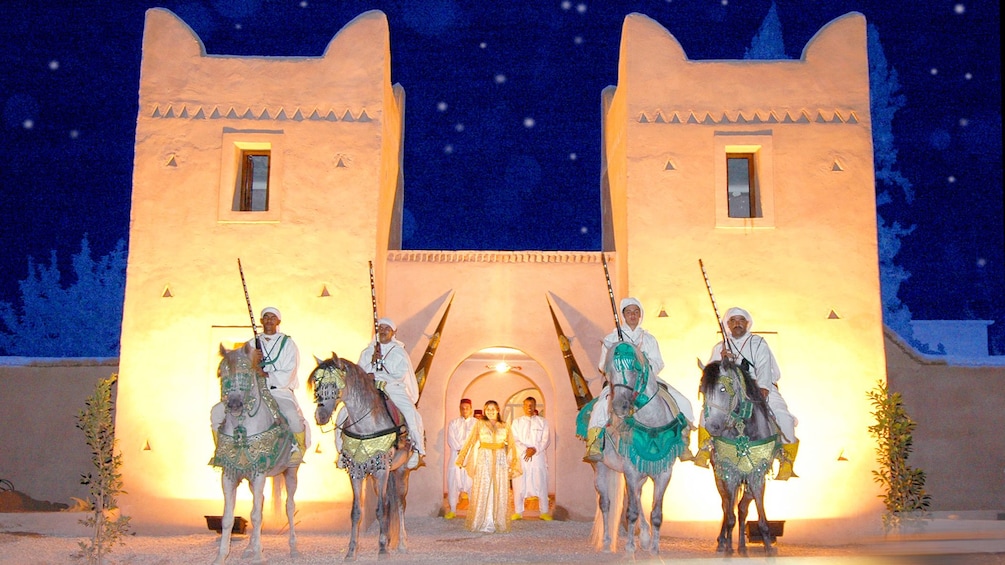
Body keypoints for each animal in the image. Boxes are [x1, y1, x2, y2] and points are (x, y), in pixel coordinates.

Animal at [206, 341, 295, 558]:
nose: (235, 404)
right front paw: (222, 556)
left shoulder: (259, 473)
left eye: (246, 372)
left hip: (290, 471)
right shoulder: (230, 474)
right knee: (260, 502)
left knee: (289, 507)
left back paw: (293, 547)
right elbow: (228, 518)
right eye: (222, 373)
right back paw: (251, 546)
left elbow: (255, 515)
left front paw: (258, 557)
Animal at [309, 351, 412, 558]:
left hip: (400, 470)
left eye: (334, 384)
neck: (366, 426)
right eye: (317, 383)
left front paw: (382, 550)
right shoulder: (356, 470)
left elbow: (381, 509)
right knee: (389, 501)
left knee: (399, 503)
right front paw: (351, 551)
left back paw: (402, 543)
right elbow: (356, 511)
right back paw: (390, 539)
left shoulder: (382, 469)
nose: (321, 416)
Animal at [582, 341, 691, 550]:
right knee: (606, 503)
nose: (618, 406)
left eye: (635, 368)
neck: (651, 424)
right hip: (600, 467)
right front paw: (630, 547)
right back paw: (607, 542)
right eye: (609, 369)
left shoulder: (663, 472)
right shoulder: (630, 471)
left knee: (639, 497)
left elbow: (656, 512)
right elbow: (630, 511)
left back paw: (646, 537)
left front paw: (655, 548)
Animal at [703, 355, 779, 554]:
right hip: (720, 477)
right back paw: (723, 542)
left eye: (723, 389)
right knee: (726, 507)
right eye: (703, 392)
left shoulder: (757, 474)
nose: (712, 427)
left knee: (742, 508)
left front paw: (768, 546)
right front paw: (728, 546)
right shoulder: (730, 473)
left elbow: (757, 515)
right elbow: (729, 516)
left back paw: (743, 546)